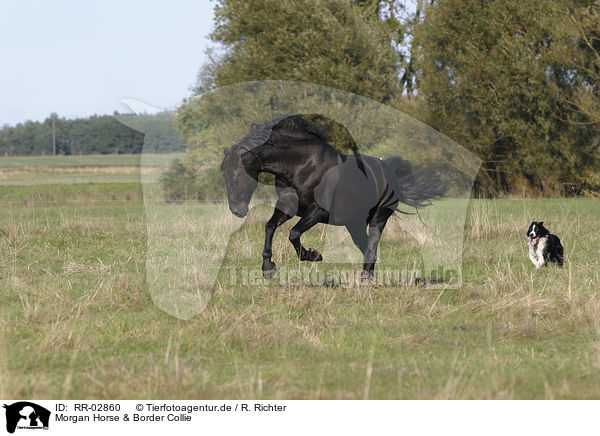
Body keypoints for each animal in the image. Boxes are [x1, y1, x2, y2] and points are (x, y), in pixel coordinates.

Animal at [220, 115, 446, 280]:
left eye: (235, 176)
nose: (237, 211)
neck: (301, 165)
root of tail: (389, 172)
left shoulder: (319, 211)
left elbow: (293, 233)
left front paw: (314, 255)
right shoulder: (288, 208)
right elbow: (269, 227)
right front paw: (268, 267)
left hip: (378, 218)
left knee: (372, 246)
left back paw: (366, 279)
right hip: (354, 223)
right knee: (366, 246)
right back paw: (368, 277)